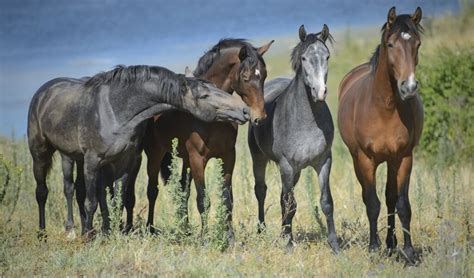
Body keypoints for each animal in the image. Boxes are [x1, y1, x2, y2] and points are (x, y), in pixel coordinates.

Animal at [27, 64, 250, 237]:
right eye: (204, 95)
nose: (244, 110)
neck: (116, 111)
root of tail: (43, 92)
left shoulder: (124, 161)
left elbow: (117, 199)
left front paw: (111, 233)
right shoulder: (92, 161)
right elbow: (93, 202)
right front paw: (91, 238)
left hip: (76, 157)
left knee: (78, 191)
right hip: (41, 154)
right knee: (42, 192)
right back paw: (44, 233)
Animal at [143, 38, 272, 237]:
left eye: (264, 75)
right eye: (245, 77)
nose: (259, 117)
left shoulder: (228, 156)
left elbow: (227, 198)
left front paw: (229, 235)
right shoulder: (198, 159)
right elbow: (203, 200)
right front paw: (205, 237)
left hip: (185, 159)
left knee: (183, 188)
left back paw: (186, 229)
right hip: (155, 153)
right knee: (152, 190)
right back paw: (150, 228)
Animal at [246, 25, 338, 252]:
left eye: (327, 56)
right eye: (304, 58)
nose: (320, 92)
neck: (306, 121)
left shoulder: (324, 161)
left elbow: (326, 202)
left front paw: (334, 244)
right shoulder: (286, 165)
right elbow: (290, 203)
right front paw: (288, 243)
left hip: (295, 172)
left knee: (282, 197)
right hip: (260, 159)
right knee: (261, 192)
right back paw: (262, 230)